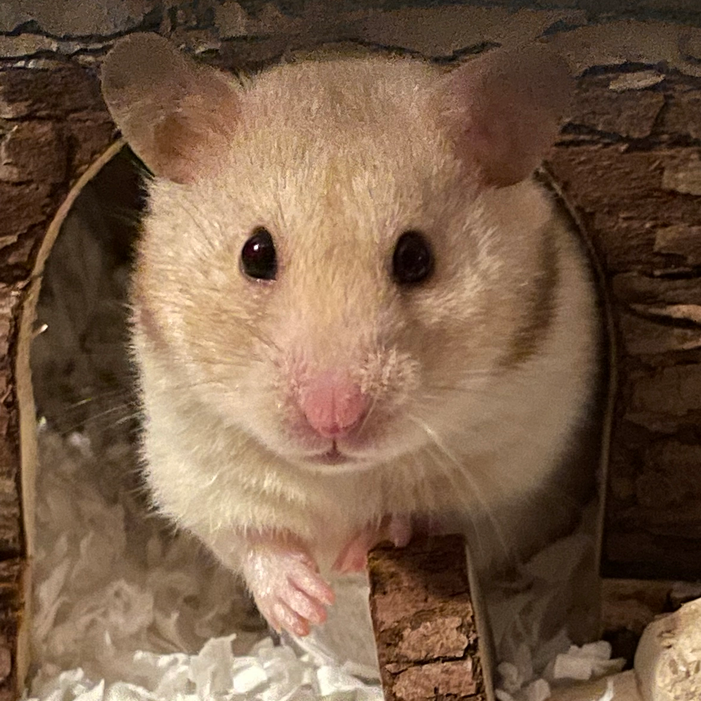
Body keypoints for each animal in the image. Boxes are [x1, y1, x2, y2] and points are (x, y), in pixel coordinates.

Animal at [100, 34, 598, 638]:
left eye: (416, 258)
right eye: (254, 253)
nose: (332, 418)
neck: (340, 477)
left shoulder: (512, 478)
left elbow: (438, 514)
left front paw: (356, 552)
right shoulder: (193, 470)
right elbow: (251, 539)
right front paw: (305, 606)